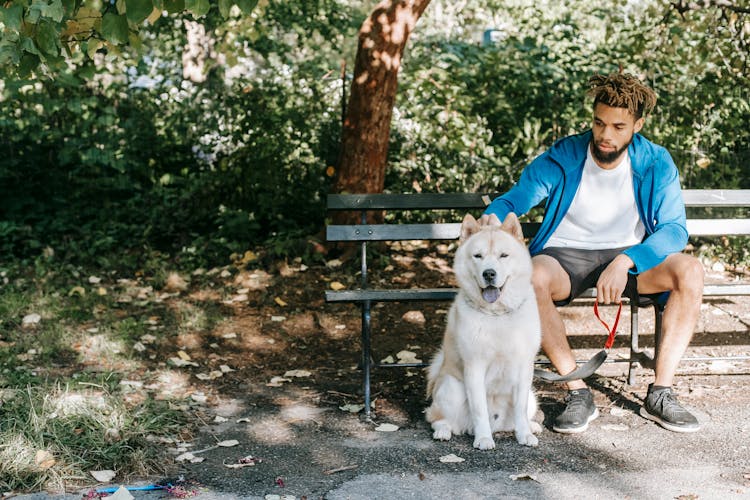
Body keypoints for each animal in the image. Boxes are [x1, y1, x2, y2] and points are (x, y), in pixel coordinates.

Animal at [426, 213, 544, 448]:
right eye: (478, 256)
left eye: (504, 255)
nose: (489, 273)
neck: (497, 314)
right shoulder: (474, 367)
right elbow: (479, 409)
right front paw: (483, 439)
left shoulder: (524, 368)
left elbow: (520, 409)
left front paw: (525, 434)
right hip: (451, 387)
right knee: (437, 418)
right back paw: (445, 431)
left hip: (532, 397)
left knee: (518, 417)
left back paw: (531, 426)